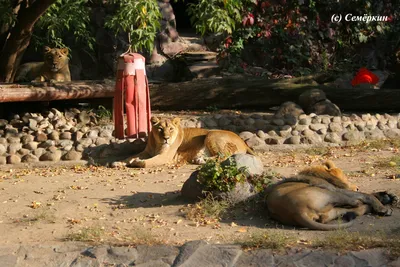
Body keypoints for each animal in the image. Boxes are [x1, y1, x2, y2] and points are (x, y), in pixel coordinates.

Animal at [112, 116, 256, 169]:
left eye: (171, 128)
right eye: (160, 129)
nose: (166, 138)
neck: (157, 143)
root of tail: (243, 141)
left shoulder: (165, 157)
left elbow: (146, 162)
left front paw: (136, 162)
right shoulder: (146, 152)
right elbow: (129, 157)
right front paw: (118, 162)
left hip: (211, 134)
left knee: (225, 156)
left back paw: (201, 160)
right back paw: (200, 159)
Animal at [266, 162, 396, 231]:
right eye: (345, 177)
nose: (357, 187)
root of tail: (297, 212)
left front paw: (388, 197)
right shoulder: (335, 188)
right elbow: (366, 195)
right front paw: (382, 206)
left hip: (331, 212)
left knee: (355, 209)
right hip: (330, 193)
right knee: (355, 202)